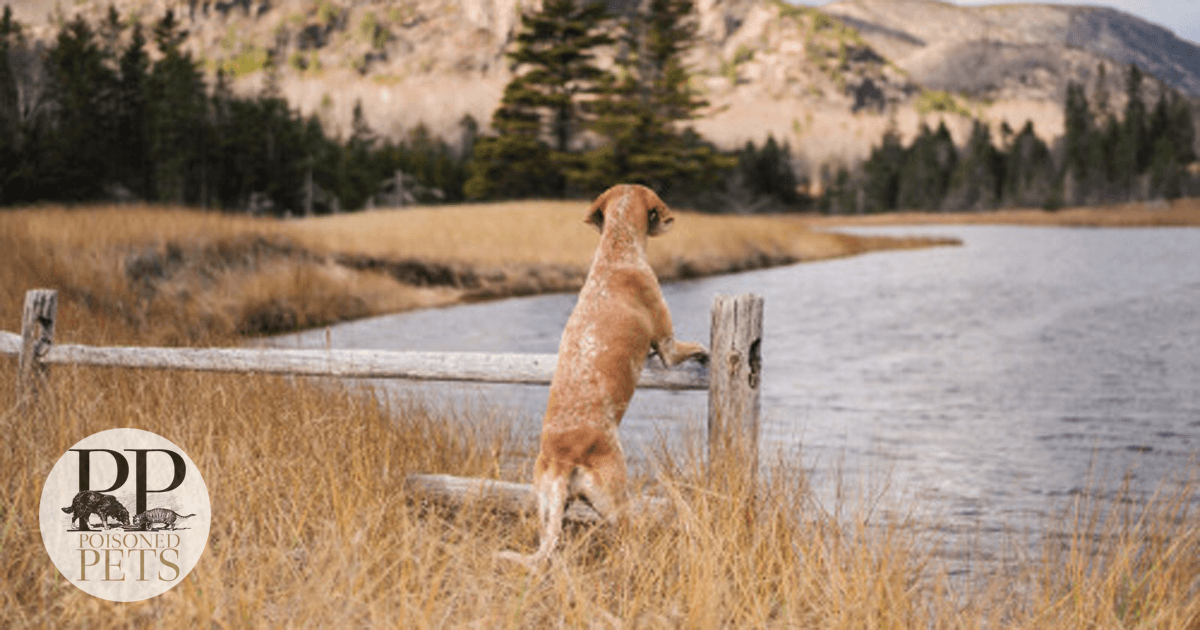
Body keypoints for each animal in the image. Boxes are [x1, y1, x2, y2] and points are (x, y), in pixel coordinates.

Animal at [499, 184, 705, 566]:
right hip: (616, 498)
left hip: (547, 505)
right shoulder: (668, 344)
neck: (616, 250)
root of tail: (563, 458)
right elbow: (690, 346)